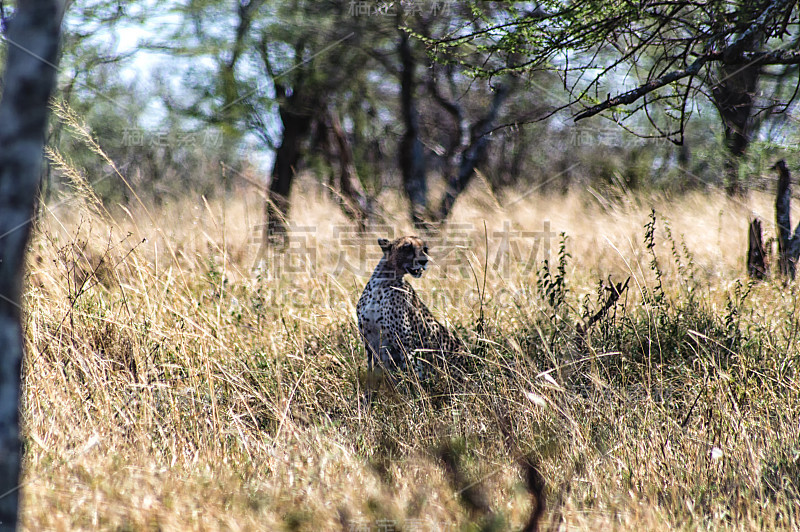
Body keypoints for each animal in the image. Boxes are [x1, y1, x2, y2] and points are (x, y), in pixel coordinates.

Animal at [354, 234, 462, 382]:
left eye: (425, 249)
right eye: (407, 247)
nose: (424, 261)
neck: (382, 282)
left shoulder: (407, 347)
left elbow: (414, 378)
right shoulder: (370, 344)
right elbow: (371, 378)